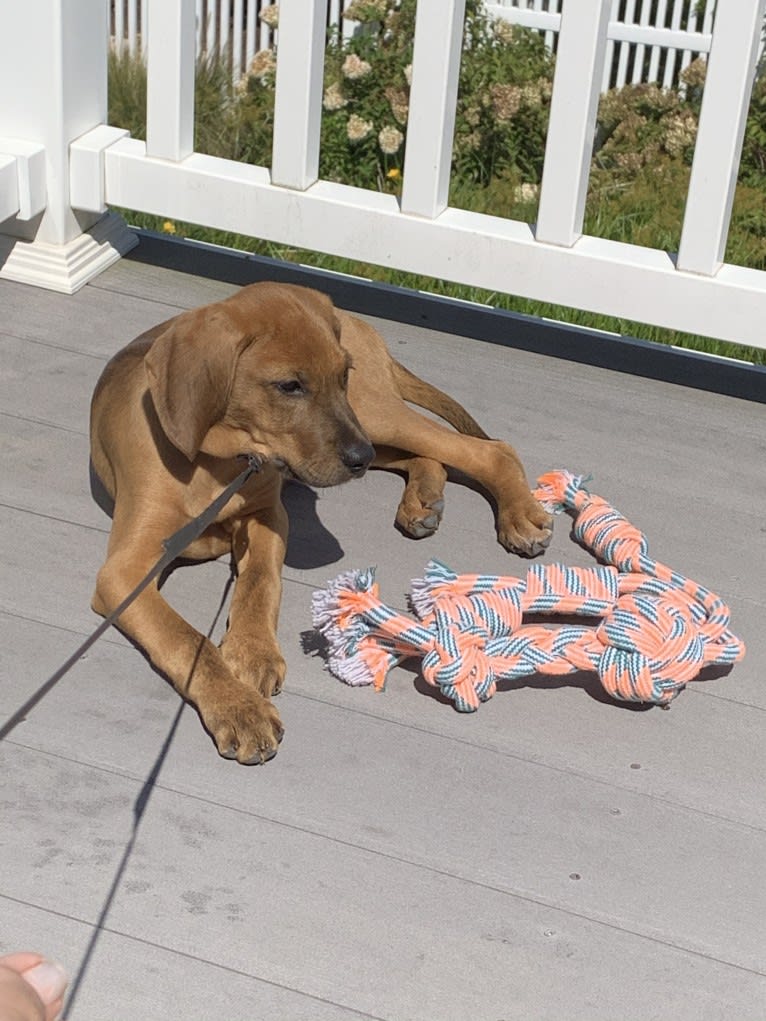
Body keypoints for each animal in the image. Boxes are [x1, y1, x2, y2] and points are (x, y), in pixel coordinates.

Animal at [91, 283, 551, 763]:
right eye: (289, 386)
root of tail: (353, 318)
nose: (358, 458)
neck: (221, 463)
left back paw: (518, 514)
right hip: (369, 428)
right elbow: (184, 638)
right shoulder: (124, 572)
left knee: (486, 449)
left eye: (341, 374)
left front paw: (252, 654)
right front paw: (239, 708)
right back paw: (423, 499)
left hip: (371, 415)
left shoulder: (268, 514)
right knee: (424, 455)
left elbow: (259, 581)